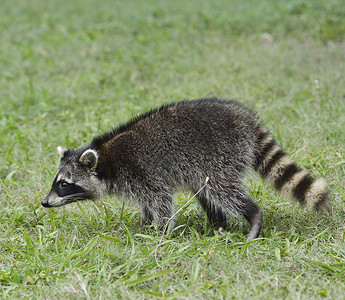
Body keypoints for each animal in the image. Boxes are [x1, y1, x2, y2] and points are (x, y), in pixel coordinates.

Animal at [42, 98, 328, 241]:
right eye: (57, 181)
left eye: (64, 184)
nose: (44, 202)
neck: (106, 160)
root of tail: (246, 119)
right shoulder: (137, 181)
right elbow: (148, 204)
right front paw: (146, 224)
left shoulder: (144, 173)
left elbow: (161, 201)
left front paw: (160, 232)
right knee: (205, 192)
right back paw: (217, 225)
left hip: (221, 155)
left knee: (222, 190)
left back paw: (252, 217)